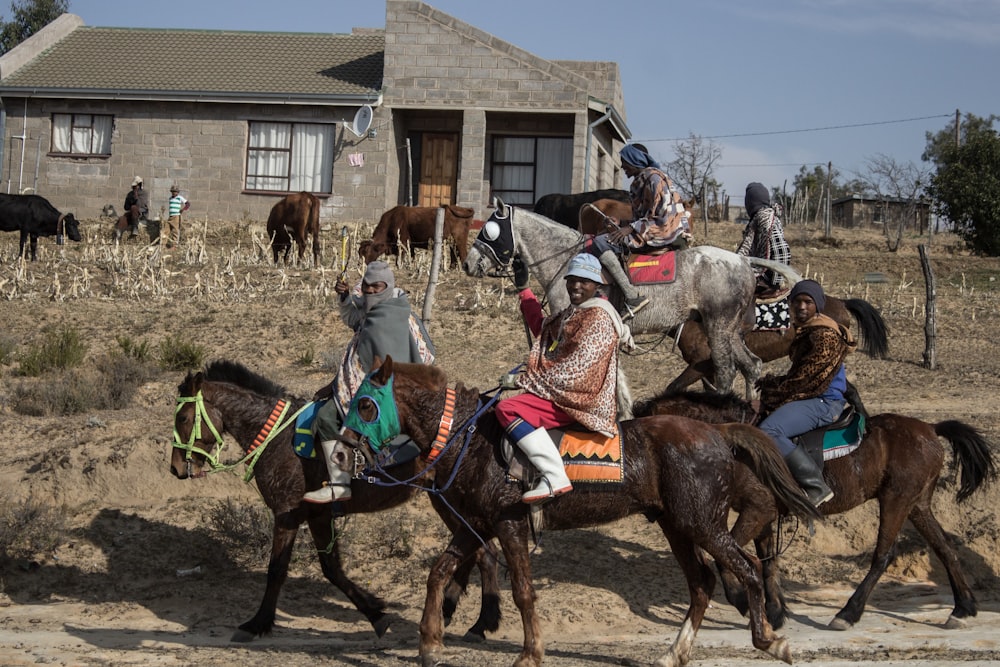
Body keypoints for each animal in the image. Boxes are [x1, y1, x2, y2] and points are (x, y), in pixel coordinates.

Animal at [173, 362, 504, 644]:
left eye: (183, 418)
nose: (176, 468)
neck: (278, 438)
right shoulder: (318, 517)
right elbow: (332, 569)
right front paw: (376, 613)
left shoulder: (287, 514)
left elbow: (277, 569)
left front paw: (257, 623)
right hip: (445, 502)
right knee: (478, 552)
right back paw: (456, 612)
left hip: (454, 504)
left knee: (485, 552)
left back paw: (480, 623)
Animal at [330, 358, 820, 667]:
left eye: (366, 404)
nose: (340, 452)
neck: (473, 439)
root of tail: (718, 433)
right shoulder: (476, 526)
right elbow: (438, 573)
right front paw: (430, 643)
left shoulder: (508, 524)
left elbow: (524, 591)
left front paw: (530, 653)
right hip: (678, 526)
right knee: (701, 584)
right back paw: (674, 653)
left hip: (702, 524)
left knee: (748, 567)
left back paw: (770, 640)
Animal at [464, 201, 760, 394]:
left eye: (490, 230)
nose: (467, 264)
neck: (566, 259)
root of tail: (744, 263)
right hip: (730, 332)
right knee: (752, 367)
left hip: (718, 328)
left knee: (725, 374)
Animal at [636, 386, 996, 632]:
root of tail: (931, 429)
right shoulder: (764, 515)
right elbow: (767, 563)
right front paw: (774, 612)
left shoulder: (758, 509)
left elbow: (731, 557)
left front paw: (742, 601)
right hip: (917, 504)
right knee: (944, 548)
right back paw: (962, 608)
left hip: (897, 499)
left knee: (884, 555)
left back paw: (848, 614)